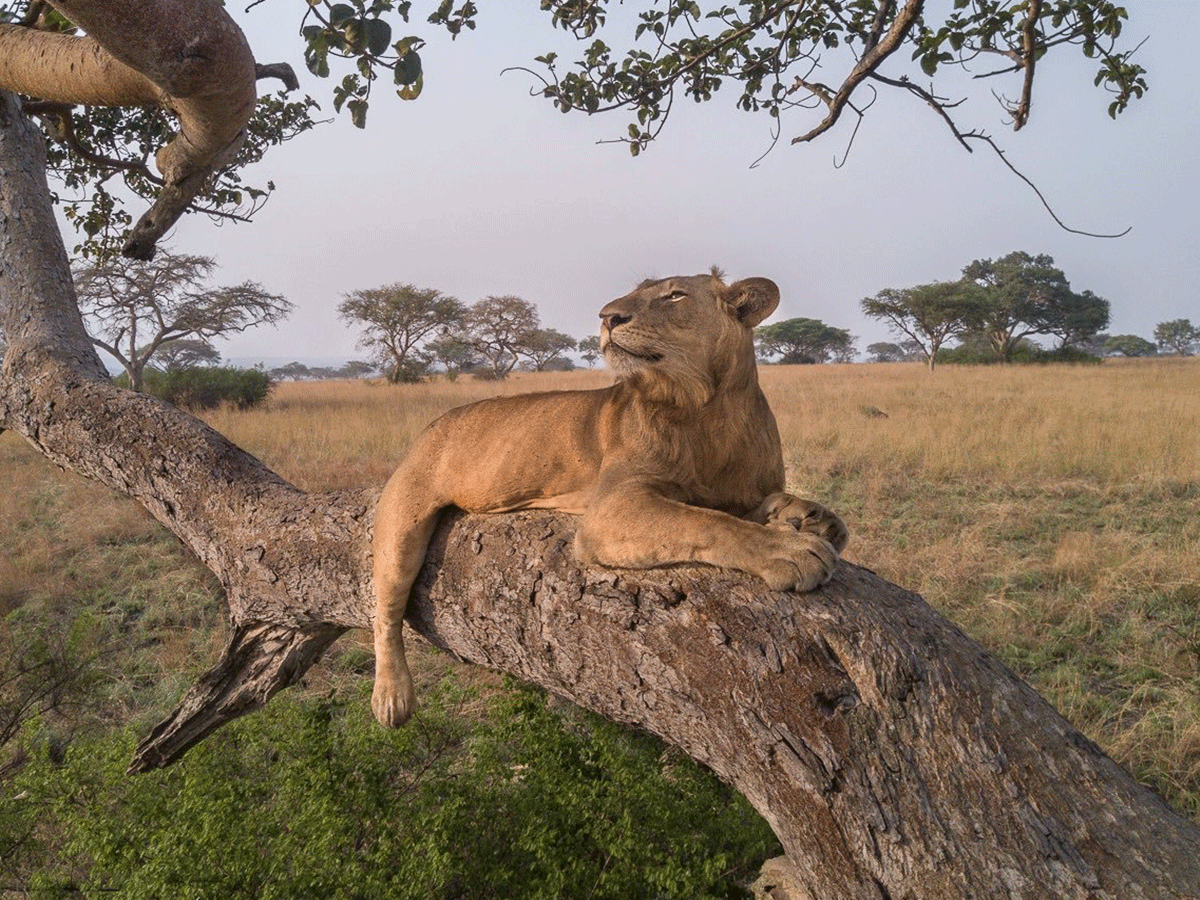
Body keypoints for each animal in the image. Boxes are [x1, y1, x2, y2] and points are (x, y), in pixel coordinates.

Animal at [369, 273, 849, 724]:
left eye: (675, 295)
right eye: (637, 290)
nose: (607, 316)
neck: (708, 406)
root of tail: (432, 425)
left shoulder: (738, 490)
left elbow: (760, 504)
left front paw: (813, 518)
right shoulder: (610, 507)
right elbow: (708, 521)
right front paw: (791, 549)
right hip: (401, 524)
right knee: (385, 611)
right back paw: (392, 698)